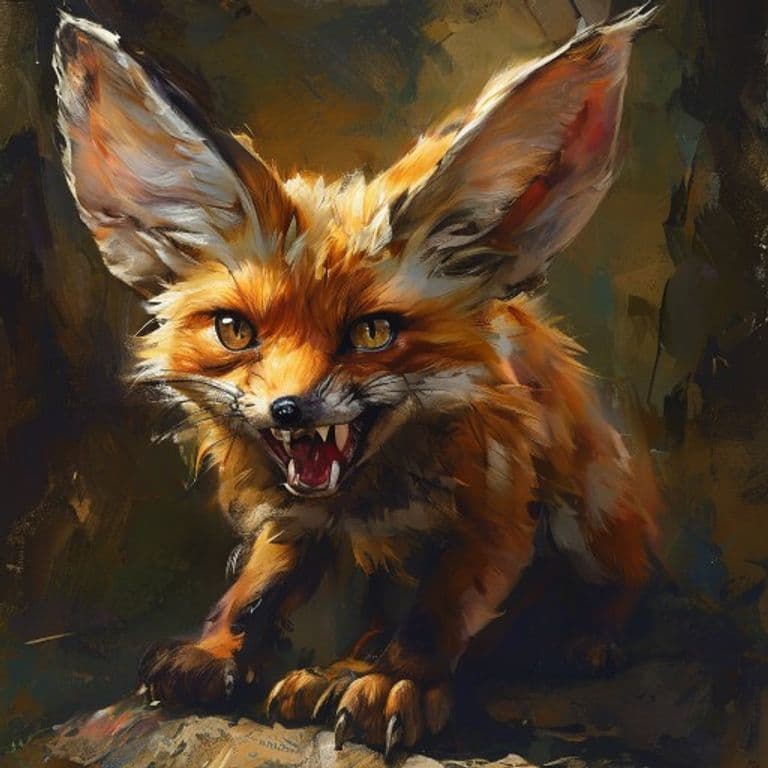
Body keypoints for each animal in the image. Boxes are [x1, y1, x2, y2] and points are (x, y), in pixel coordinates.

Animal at [53, 5, 660, 760]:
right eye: (234, 331)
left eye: (372, 333)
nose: (289, 410)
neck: (369, 500)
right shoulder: (293, 522)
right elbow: (254, 590)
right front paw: (218, 651)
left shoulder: (494, 516)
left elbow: (439, 614)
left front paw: (400, 683)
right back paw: (336, 670)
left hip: (591, 517)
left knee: (616, 581)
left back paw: (587, 637)